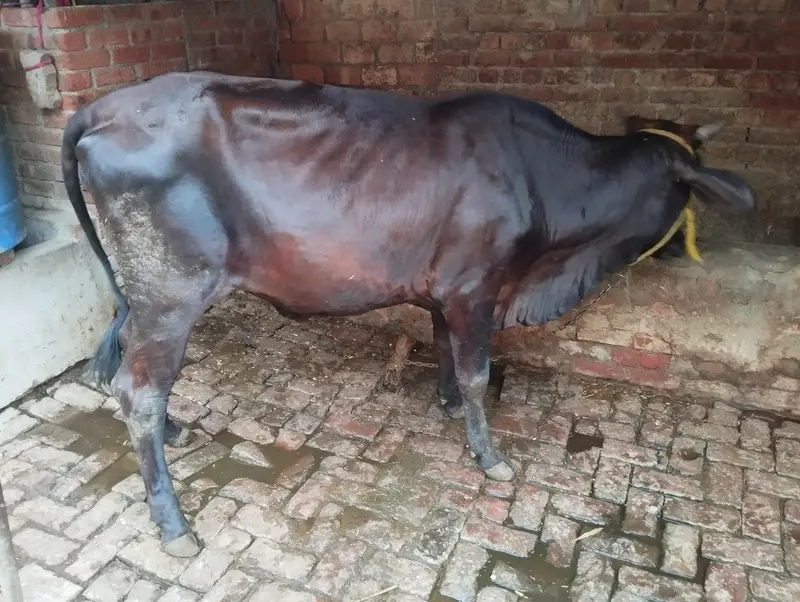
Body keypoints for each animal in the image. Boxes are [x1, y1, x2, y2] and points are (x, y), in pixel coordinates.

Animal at [61, 71, 755, 557]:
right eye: (685, 191)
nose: (687, 252)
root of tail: (102, 107)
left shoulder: (446, 291)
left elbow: (445, 349)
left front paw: (448, 405)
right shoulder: (477, 287)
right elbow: (478, 372)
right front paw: (489, 454)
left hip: (146, 299)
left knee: (132, 378)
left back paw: (176, 433)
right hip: (169, 294)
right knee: (139, 390)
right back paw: (174, 524)